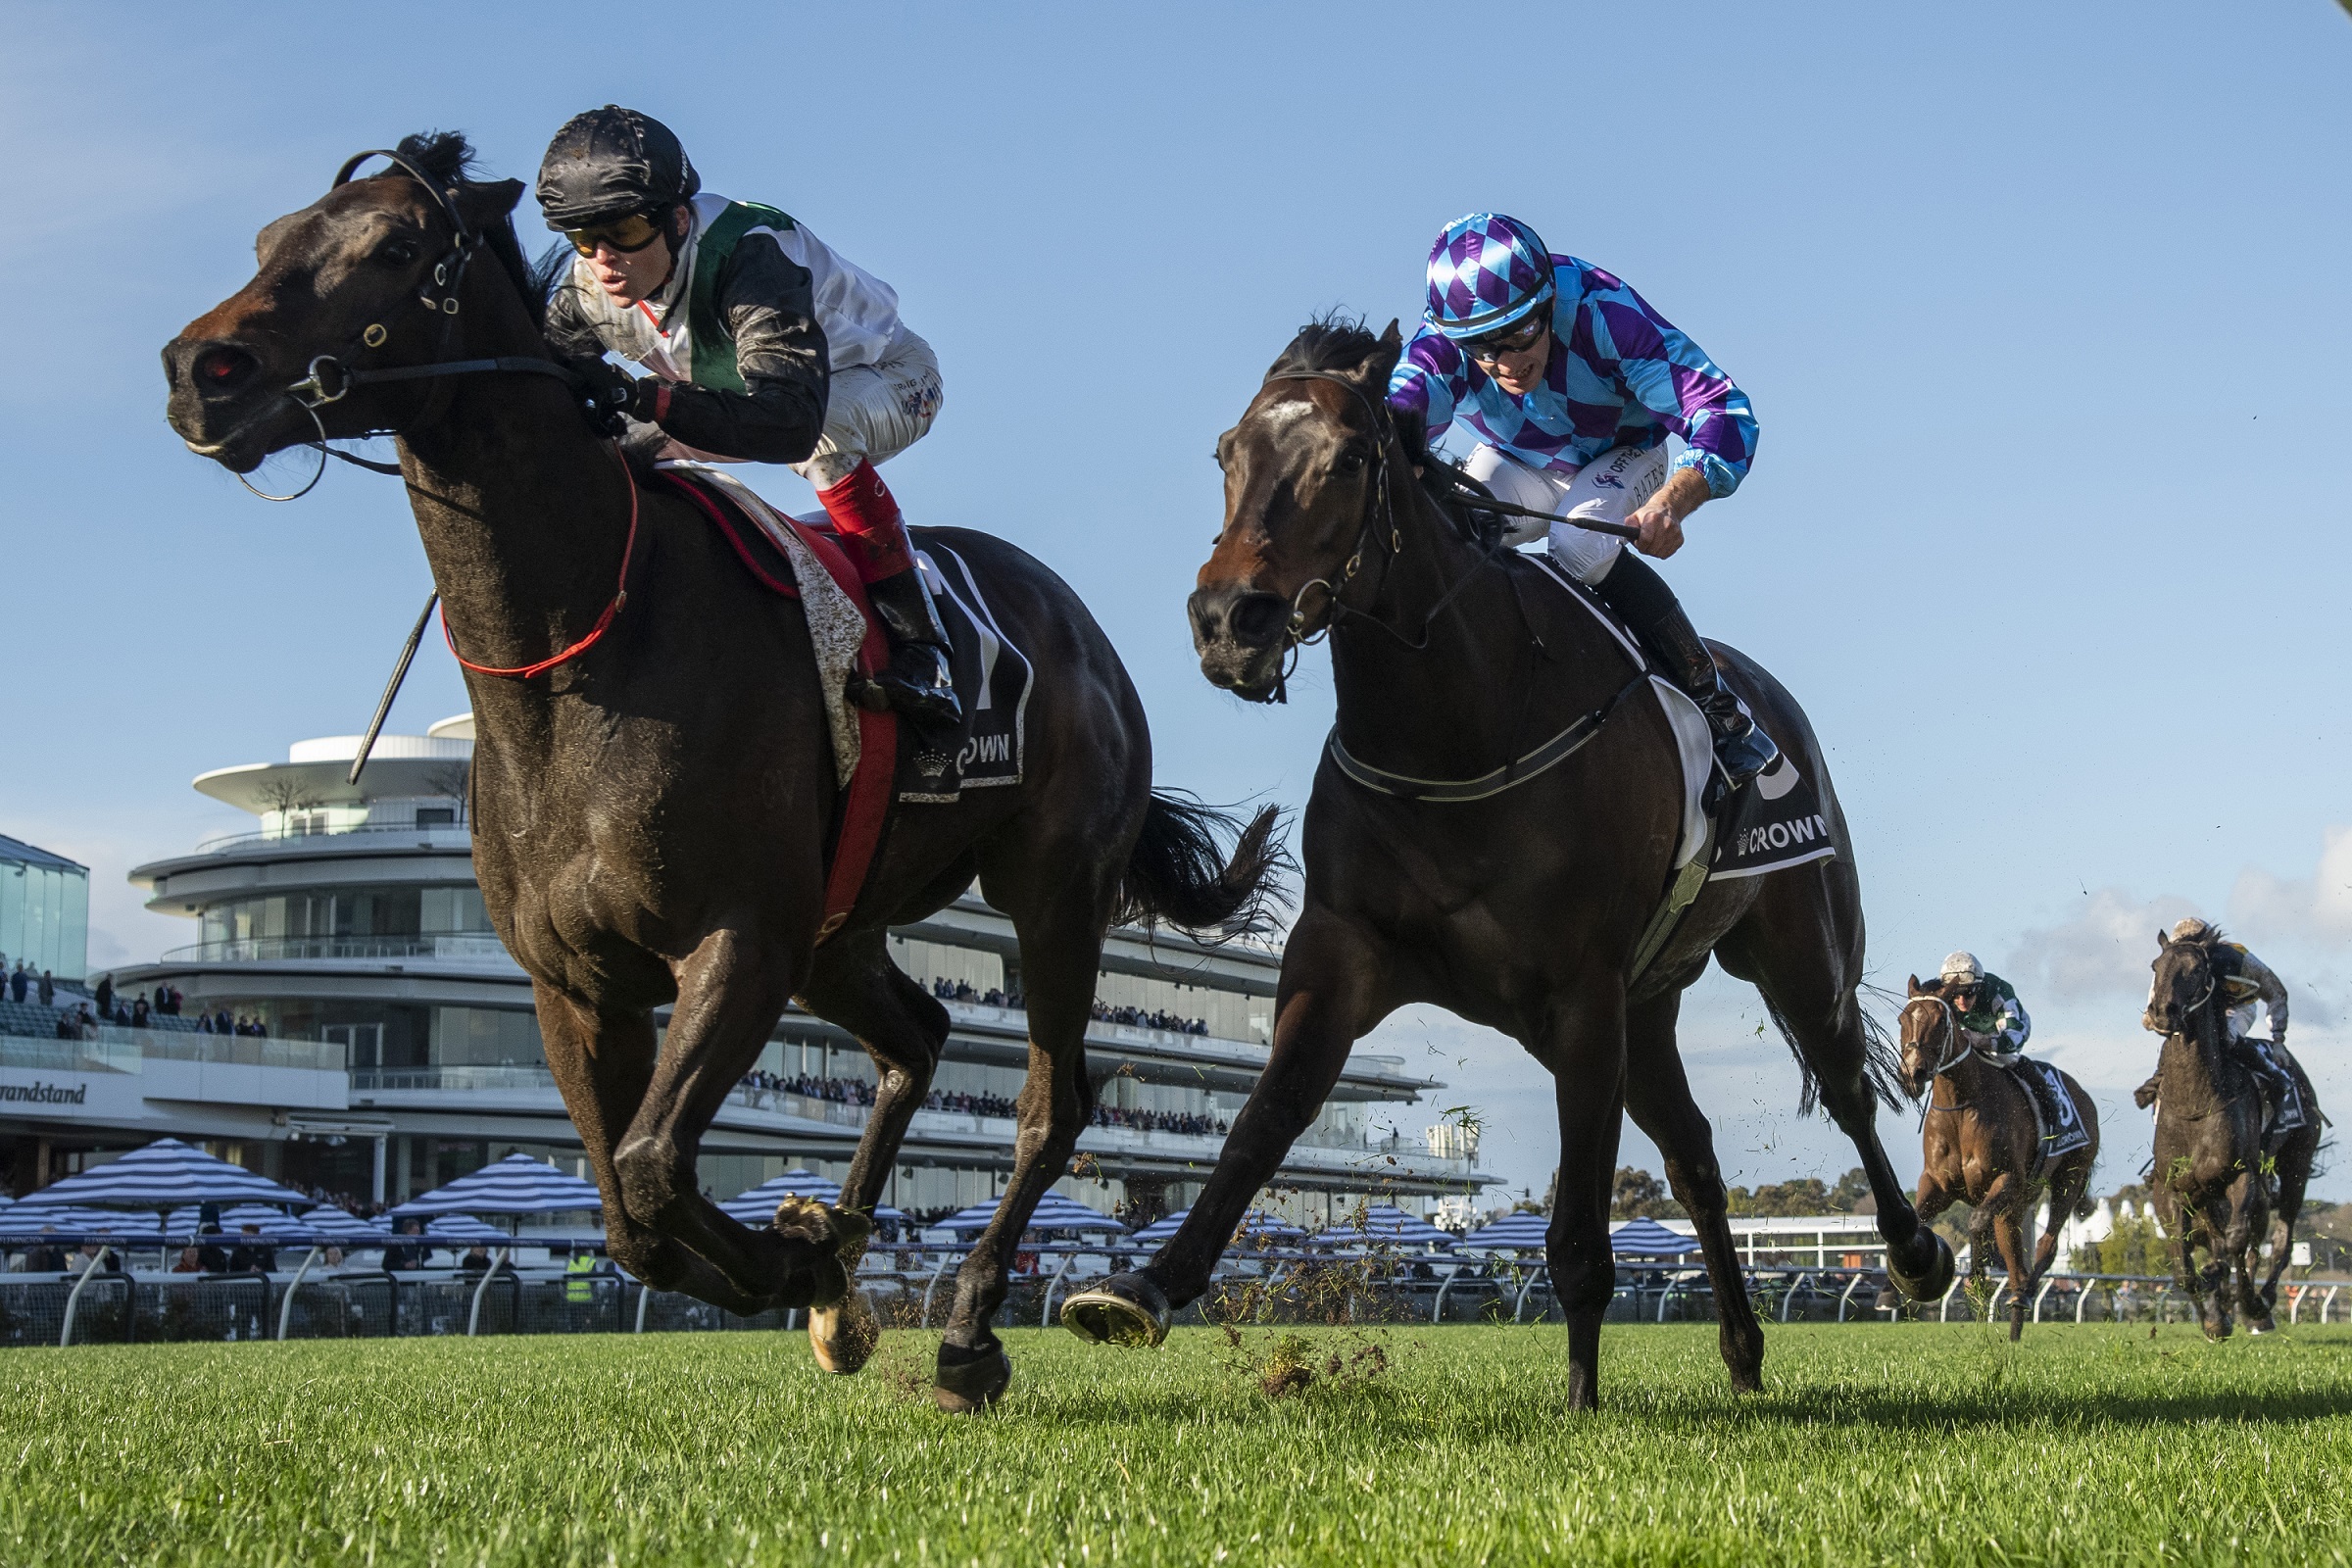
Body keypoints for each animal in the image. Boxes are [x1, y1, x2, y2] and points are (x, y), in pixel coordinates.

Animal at [161, 134, 1289, 1410]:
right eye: (269, 240)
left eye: (396, 245)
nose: (199, 370)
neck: (581, 650)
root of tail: (1084, 634)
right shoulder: (577, 982)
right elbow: (625, 1211)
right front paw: (814, 1264)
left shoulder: (739, 939)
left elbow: (653, 1165)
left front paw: (797, 1257)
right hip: (842, 932)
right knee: (919, 1041)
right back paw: (851, 1258)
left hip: (1049, 888)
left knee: (1049, 1105)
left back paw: (965, 1330)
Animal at [1062, 321, 1947, 1410]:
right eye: (1228, 453)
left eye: (1347, 460)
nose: (1231, 620)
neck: (1459, 724)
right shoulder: (1345, 950)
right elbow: (1264, 1121)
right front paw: (1143, 1285)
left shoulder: (1581, 989)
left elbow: (1578, 1231)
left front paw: (1579, 1400)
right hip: (1646, 1002)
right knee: (1694, 1153)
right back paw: (1742, 1352)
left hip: (1793, 948)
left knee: (1849, 1088)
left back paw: (1915, 1254)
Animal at [1890, 982, 2097, 1335]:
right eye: (1903, 1019)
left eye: (1941, 1022)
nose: (1912, 1074)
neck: (1961, 1108)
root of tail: (2084, 1096)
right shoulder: (1937, 1184)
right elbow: (1913, 1223)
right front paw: (1893, 1288)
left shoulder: (2007, 1179)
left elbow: (1976, 1223)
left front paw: (1976, 1281)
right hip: (2021, 1199)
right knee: (2013, 1248)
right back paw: (2016, 1309)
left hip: (2069, 1177)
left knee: (2046, 1244)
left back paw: (2024, 1294)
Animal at [2144, 926, 2324, 1345]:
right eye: (2156, 966)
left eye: (2196, 969)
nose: (2161, 1012)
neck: (2196, 1100)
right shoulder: (2175, 1186)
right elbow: (2186, 1266)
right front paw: (2214, 1318)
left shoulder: (2242, 1174)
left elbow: (2237, 1243)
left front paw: (2248, 1305)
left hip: (2295, 1166)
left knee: (2278, 1242)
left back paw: (2261, 1305)